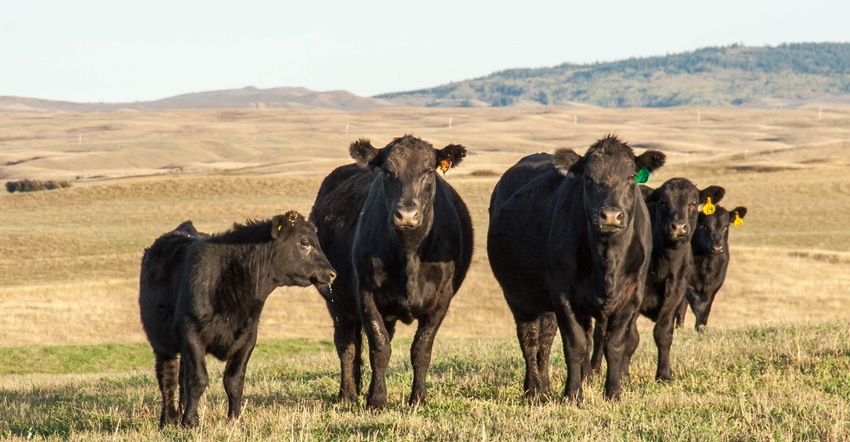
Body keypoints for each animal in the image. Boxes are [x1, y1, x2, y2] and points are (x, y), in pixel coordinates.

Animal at [138, 212, 334, 426]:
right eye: (304, 242)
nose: (332, 273)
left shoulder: (248, 337)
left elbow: (234, 381)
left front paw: (236, 419)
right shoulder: (192, 333)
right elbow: (198, 379)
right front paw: (190, 422)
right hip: (161, 342)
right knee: (168, 376)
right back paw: (169, 418)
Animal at [310, 136, 474, 410]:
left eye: (429, 172)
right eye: (387, 171)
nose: (406, 214)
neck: (410, 254)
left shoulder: (442, 298)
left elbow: (421, 349)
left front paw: (418, 399)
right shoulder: (365, 294)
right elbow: (380, 348)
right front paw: (377, 401)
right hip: (336, 299)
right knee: (346, 345)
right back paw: (347, 395)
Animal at [484, 135, 664, 400]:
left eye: (631, 176)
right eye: (588, 178)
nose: (610, 216)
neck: (607, 261)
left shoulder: (632, 295)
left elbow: (615, 345)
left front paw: (613, 393)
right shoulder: (563, 296)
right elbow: (575, 346)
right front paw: (572, 395)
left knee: (546, 339)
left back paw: (546, 387)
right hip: (519, 296)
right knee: (530, 339)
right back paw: (533, 390)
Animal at [672, 200, 744, 332]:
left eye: (726, 227)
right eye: (705, 226)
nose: (717, 248)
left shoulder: (716, 282)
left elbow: (706, 306)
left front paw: (702, 328)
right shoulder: (687, 282)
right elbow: (698, 304)